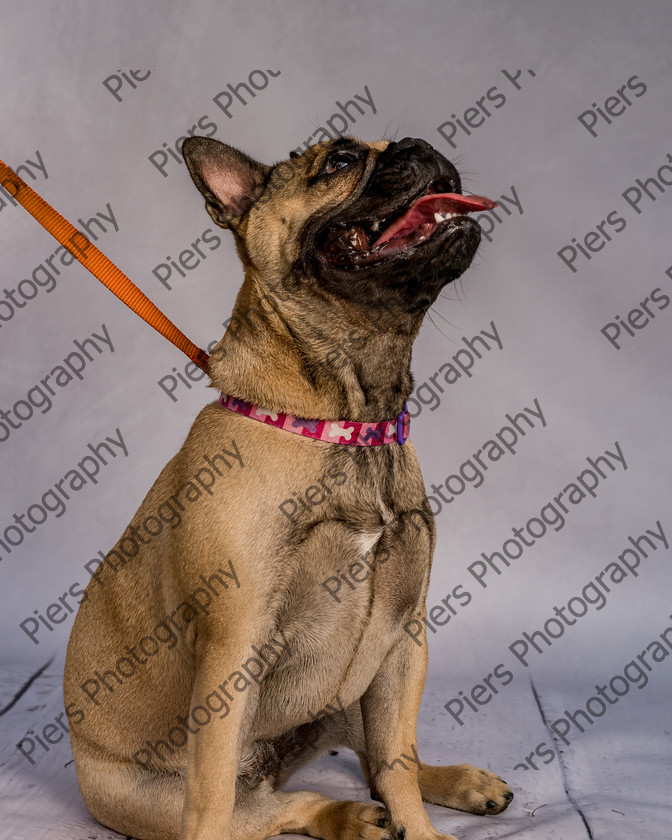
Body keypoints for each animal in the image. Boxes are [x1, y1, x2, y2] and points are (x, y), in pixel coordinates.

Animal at [64, 136, 516, 840]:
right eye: (340, 160)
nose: (420, 145)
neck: (346, 418)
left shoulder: (403, 639)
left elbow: (398, 762)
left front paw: (419, 828)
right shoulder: (232, 653)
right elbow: (213, 802)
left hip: (356, 687)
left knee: (379, 759)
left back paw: (456, 784)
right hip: (154, 796)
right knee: (273, 807)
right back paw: (352, 816)